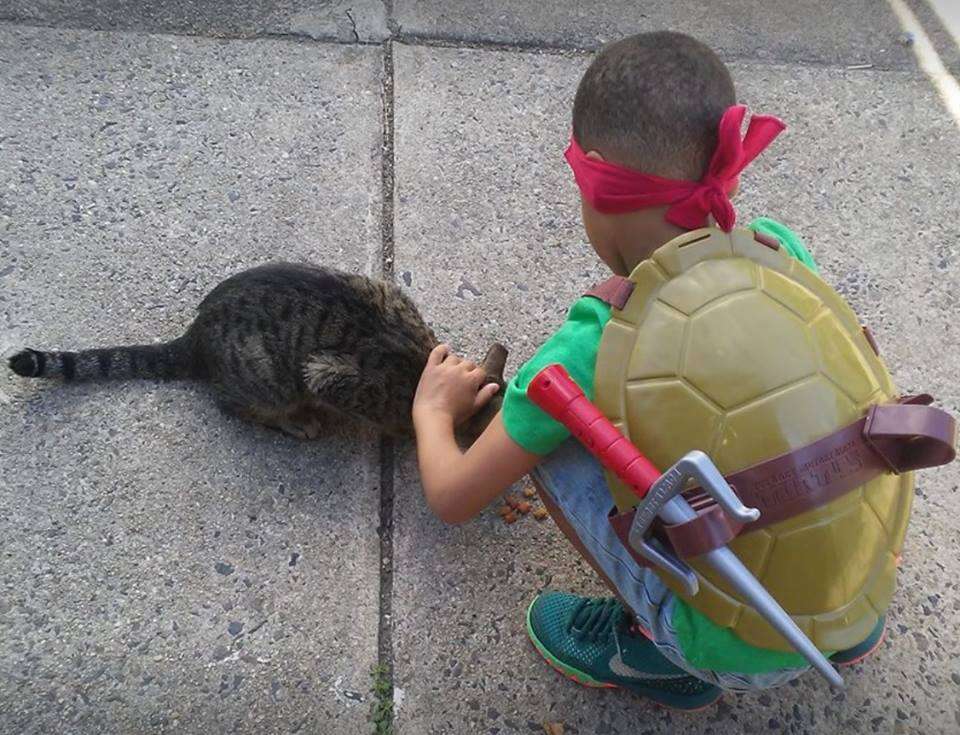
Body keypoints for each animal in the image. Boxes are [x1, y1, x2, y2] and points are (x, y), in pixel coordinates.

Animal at [7, 262, 510, 440]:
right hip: (268, 378)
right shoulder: (328, 376)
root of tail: (197, 333)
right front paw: (405, 432)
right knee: (233, 405)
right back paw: (296, 422)